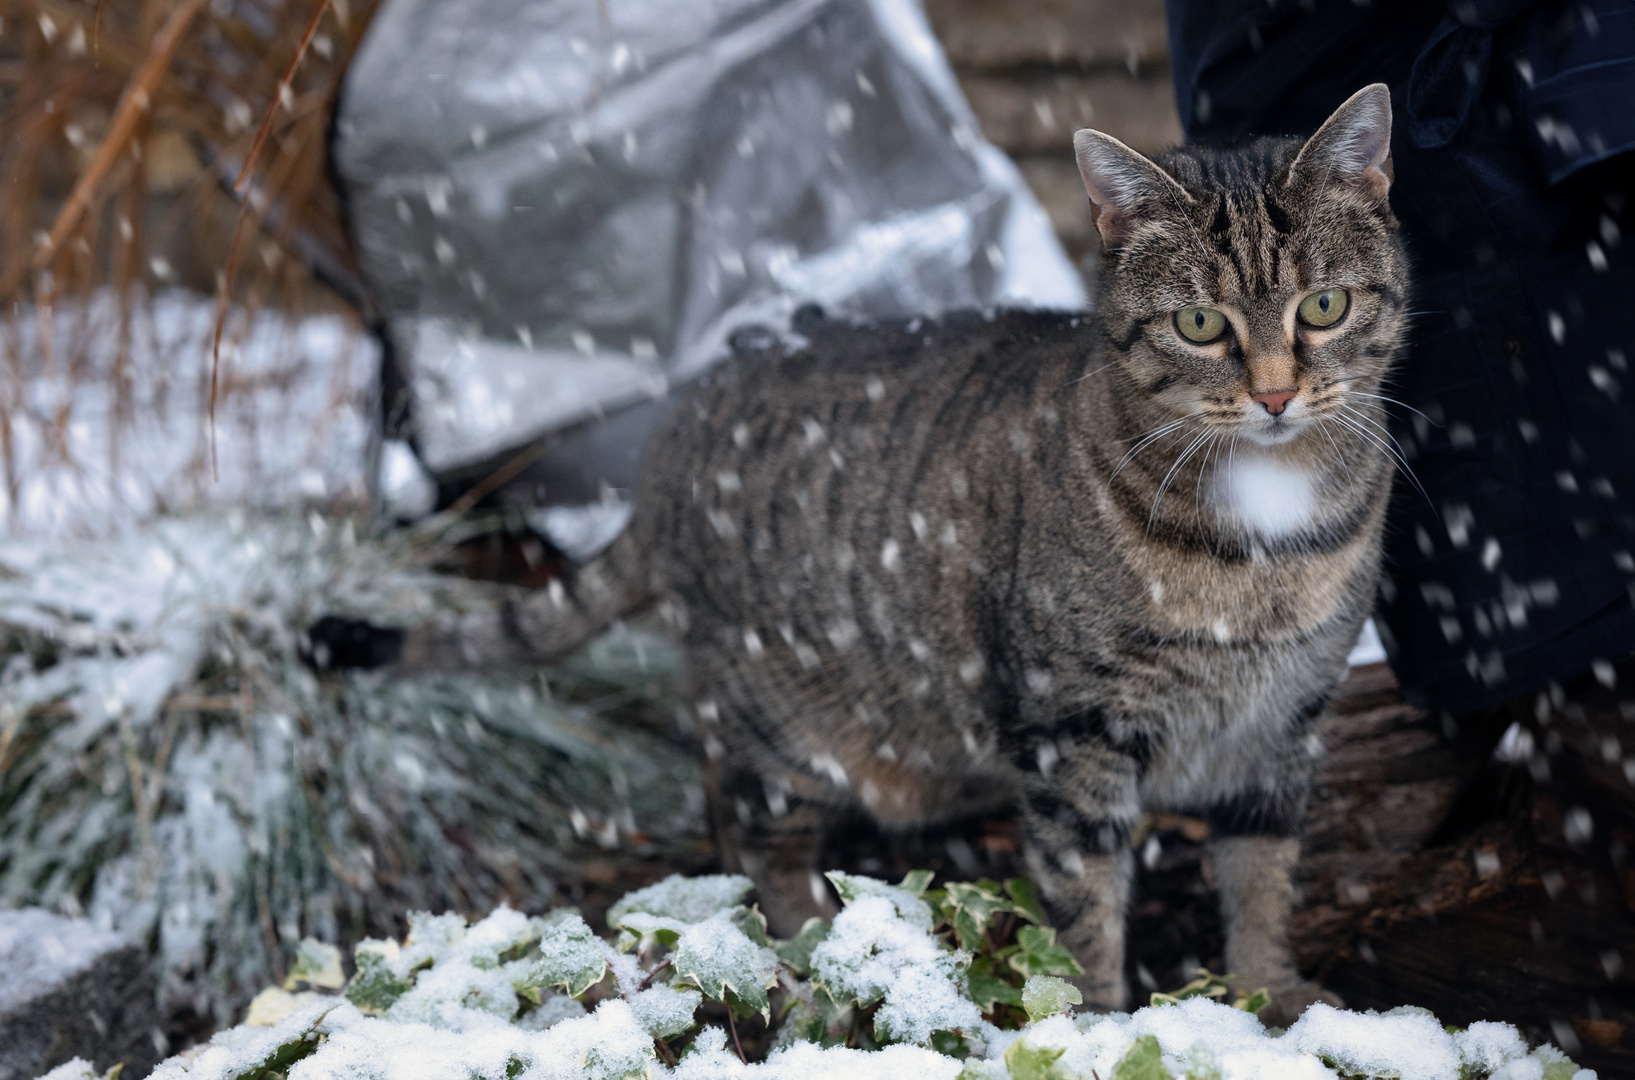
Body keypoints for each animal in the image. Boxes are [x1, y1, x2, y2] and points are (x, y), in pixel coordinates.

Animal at [389, 84, 1399, 1019]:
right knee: (754, 828)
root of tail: (675, 431)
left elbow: (1261, 876)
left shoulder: (1283, 722)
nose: (1274, 394)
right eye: (1199, 325)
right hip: (780, 726)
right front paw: (1098, 1022)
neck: (1266, 539)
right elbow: (1084, 905)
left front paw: (1272, 995)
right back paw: (797, 948)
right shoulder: (1071, 732)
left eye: (1323, 305)